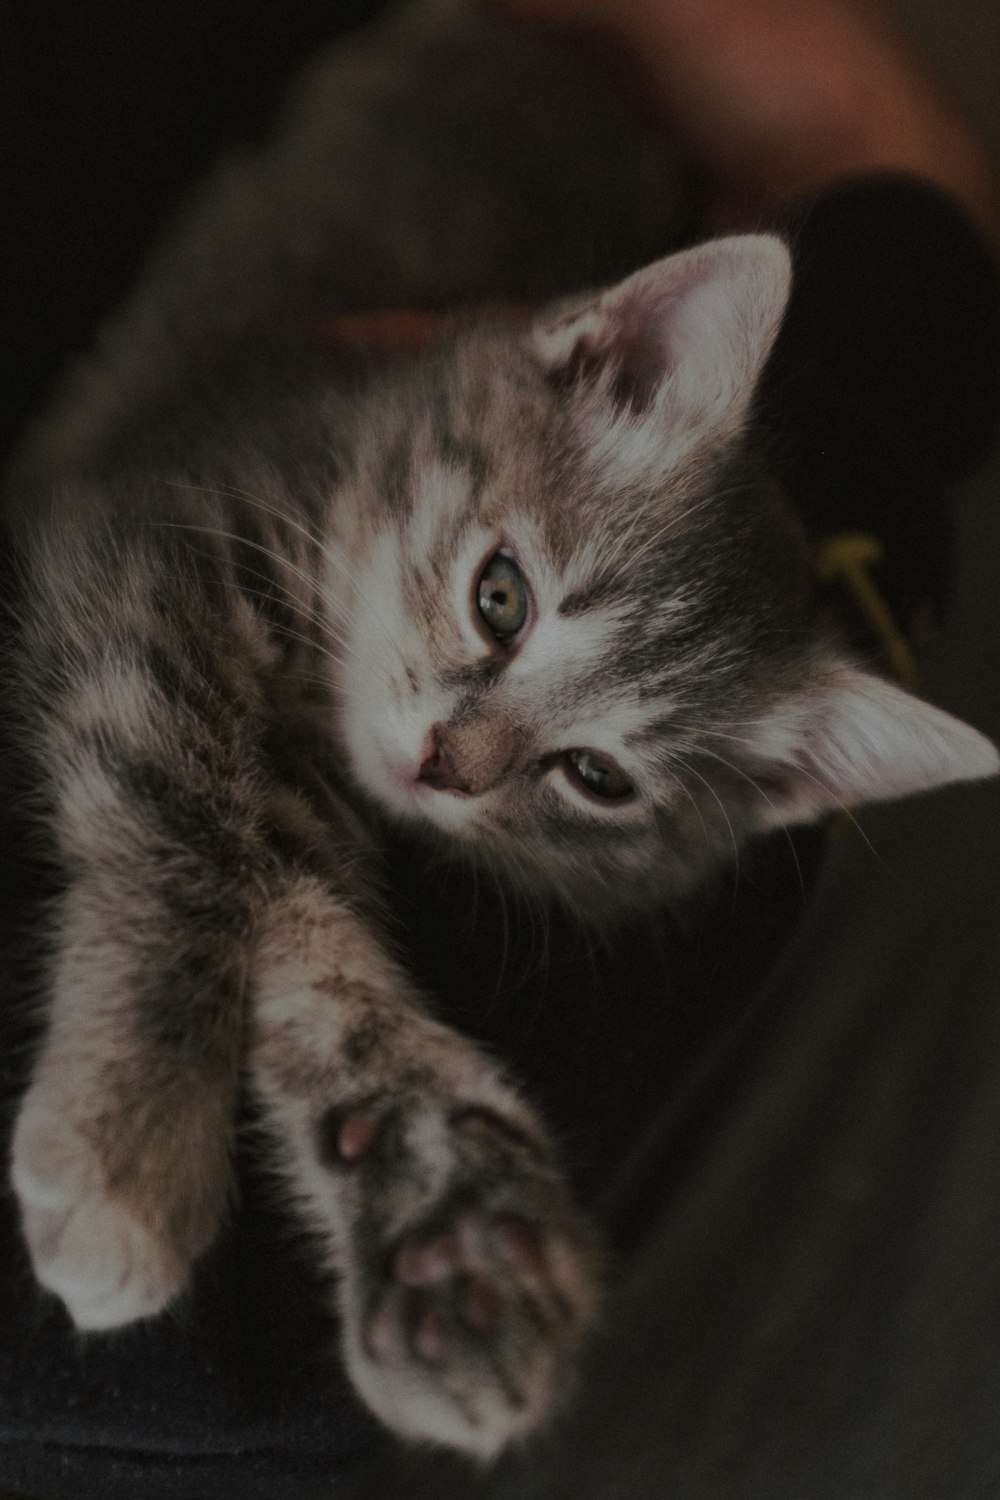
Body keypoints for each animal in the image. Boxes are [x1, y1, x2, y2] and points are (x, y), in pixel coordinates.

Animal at [5, 0, 995, 1464]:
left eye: (594, 777)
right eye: (500, 596)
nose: (442, 768)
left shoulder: (303, 786)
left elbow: (315, 957)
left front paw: (448, 1229)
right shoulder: (131, 533)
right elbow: (178, 818)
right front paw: (126, 1136)